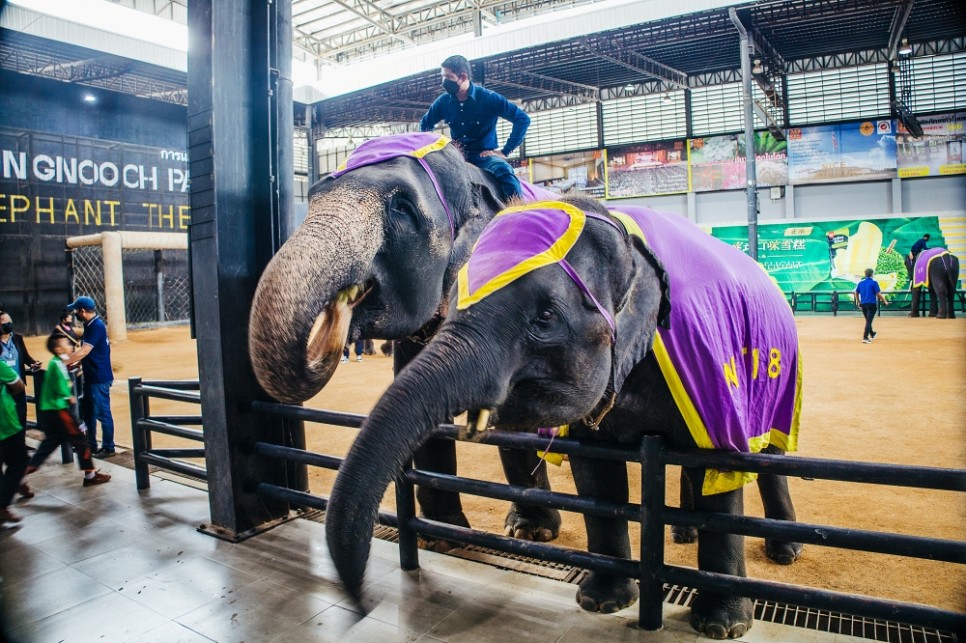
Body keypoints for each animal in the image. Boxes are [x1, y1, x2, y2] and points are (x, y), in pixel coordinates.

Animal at [328, 196, 804, 640]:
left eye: (545, 316)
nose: (362, 603)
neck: (627, 240)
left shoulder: (711, 364)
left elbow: (719, 469)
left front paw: (721, 627)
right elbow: (595, 473)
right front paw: (601, 603)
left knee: (769, 458)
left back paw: (785, 551)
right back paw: (682, 536)